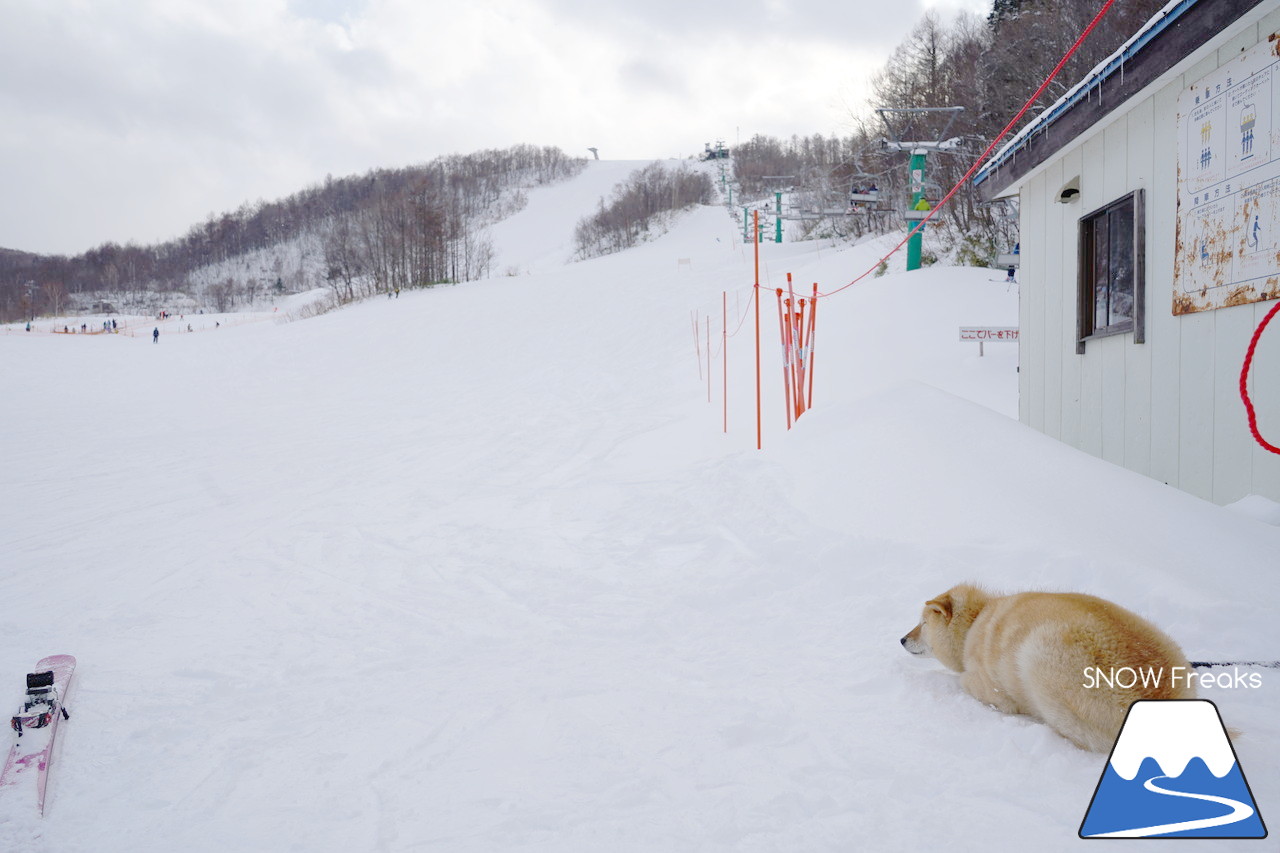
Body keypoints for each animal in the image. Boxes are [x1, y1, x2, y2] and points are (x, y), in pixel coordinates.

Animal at [906, 581, 1192, 747]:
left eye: (922, 624)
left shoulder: (990, 687)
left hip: (1041, 656)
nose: (902, 639)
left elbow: (968, 681)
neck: (977, 619)